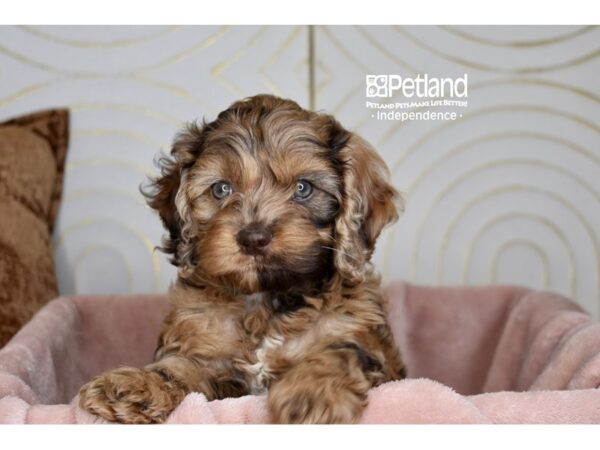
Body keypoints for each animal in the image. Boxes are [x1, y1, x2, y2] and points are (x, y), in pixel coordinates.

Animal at [79, 93, 406, 424]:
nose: (254, 238)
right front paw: (134, 384)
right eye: (221, 189)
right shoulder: (207, 353)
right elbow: (179, 366)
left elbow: (340, 351)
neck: (265, 298)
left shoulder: (362, 340)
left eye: (303, 188)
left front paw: (312, 394)